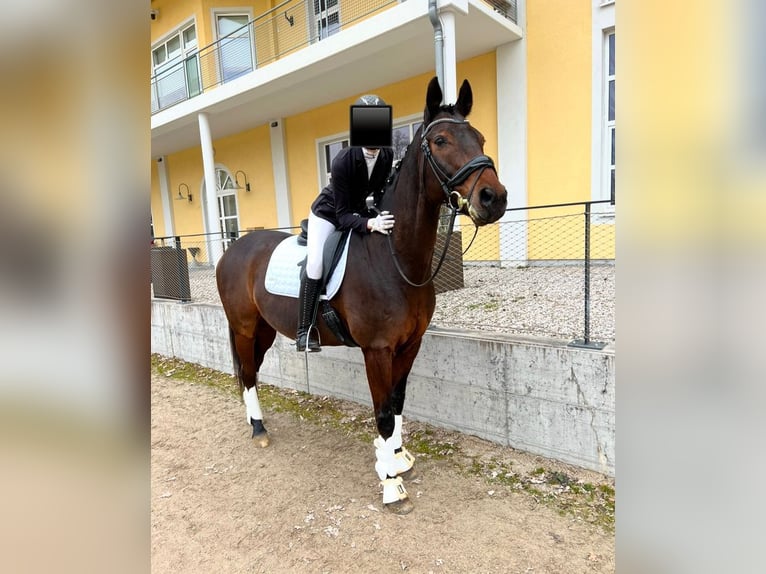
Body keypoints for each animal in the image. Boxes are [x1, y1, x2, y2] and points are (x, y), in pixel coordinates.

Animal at [216, 75, 510, 512]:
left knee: (251, 369)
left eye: (480, 138)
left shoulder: (410, 345)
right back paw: (258, 429)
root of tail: (234, 249)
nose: (494, 198)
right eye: (440, 140)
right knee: (248, 373)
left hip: (266, 330)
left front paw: (397, 458)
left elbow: (398, 401)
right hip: (244, 327)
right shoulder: (377, 350)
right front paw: (390, 482)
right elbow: (383, 411)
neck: (394, 258)